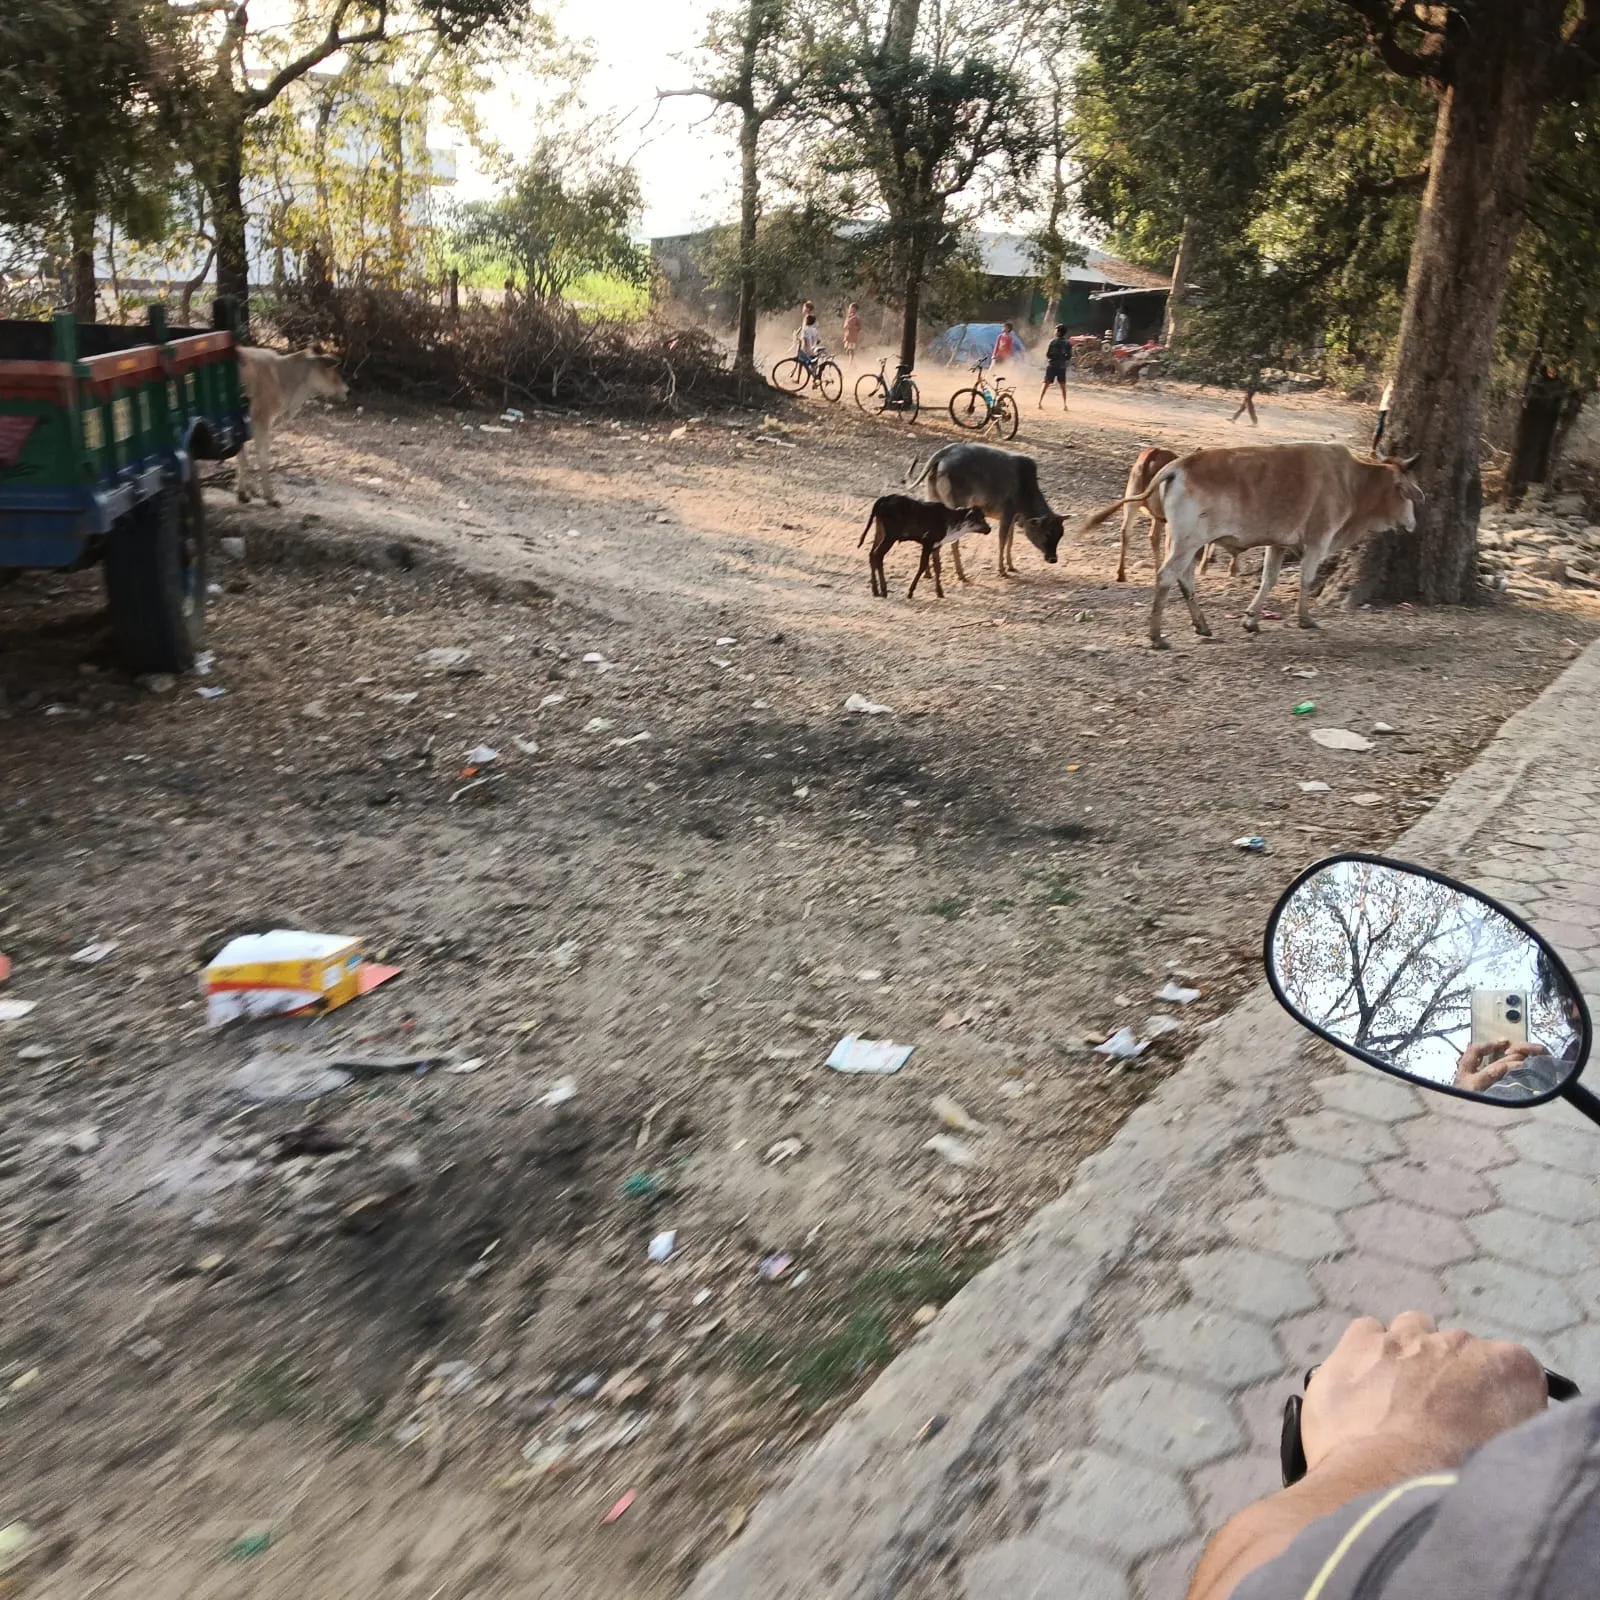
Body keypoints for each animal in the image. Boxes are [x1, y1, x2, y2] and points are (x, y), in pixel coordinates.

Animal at [236, 346, 349, 506]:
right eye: (333, 372)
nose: (347, 390)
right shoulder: (262, 420)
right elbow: (262, 456)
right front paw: (270, 496)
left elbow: (242, 455)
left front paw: (244, 494)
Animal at [858, 495, 990, 600]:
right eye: (979, 518)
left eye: (983, 516)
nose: (989, 529)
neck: (948, 521)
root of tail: (884, 498)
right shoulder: (927, 543)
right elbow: (923, 566)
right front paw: (910, 592)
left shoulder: (936, 545)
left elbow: (937, 567)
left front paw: (940, 592)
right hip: (890, 536)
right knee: (878, 555)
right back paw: (884, 590)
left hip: (880, 531)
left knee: (871, 554)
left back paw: (875, 590)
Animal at [907, 443, 1065, 579]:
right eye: (1047, 534)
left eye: (1060, 535)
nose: (1053, 559)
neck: (1025, 489)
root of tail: (943, 453)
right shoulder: (1007, 513)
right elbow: (1002, 540)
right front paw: (1002, 570)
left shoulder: (1013, 517)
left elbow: (1010, 540)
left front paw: (1011, 565)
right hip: (956, 506)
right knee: (954, 539)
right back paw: (961, 573)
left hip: (933, 498)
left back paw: (928, 572)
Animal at [1075, 443, 1422, 648]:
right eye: (1405, 492)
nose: (1413, 523)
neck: (1352, 482)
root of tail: (1176, 467)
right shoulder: (1317, 540)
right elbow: (1306, 580)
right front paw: (1305, 619)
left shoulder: (1279, 544)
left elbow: (1269, 579)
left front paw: (1251, 620)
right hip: (1187, 541)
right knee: (1166, 576)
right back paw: (1157, 636)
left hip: (1184, 540)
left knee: (1184, 579)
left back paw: (1202, 626)